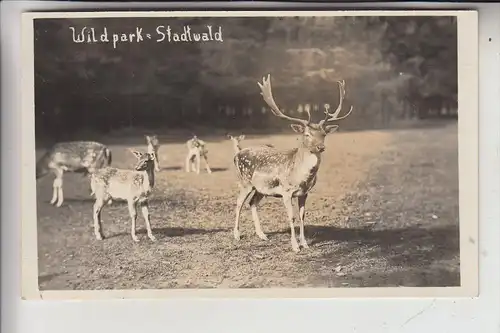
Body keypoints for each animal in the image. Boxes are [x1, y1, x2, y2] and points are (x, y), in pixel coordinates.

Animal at [233, 74, 354, 252]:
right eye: (307, 134)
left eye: (324, 134)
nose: (321, 147)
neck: (301, 176)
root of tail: (236, 155)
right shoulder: (286, 191)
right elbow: (291, 217)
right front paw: (295, 246)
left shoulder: (305, 193)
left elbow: (302, 216)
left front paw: (305, 244)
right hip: (245, 181)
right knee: (239, 202)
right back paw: (236, 235)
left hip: (261, 188)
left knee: (252, 203)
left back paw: (262, 235)